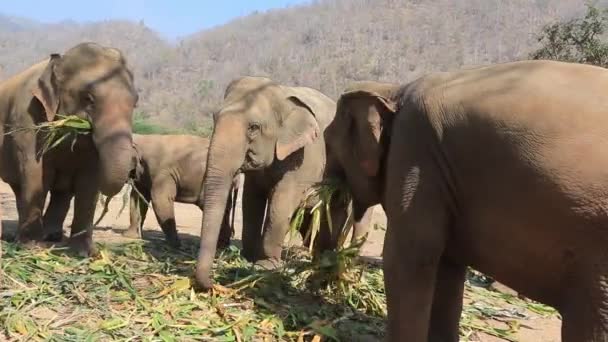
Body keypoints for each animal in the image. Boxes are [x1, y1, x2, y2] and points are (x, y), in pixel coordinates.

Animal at [0, 42, 138, 255]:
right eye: (89, 98)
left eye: (135, 102)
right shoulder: (27, 117)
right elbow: (35, 171)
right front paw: (33, 247)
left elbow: (89, 181)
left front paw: (86, 253)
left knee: (60, 192)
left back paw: (52, 236)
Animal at [324, 60, 608, 340]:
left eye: (327, 142)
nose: (326, 273)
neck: (393, 90)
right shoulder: (443, 173)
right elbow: (447, 267)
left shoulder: (416, 156)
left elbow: (410, 258)